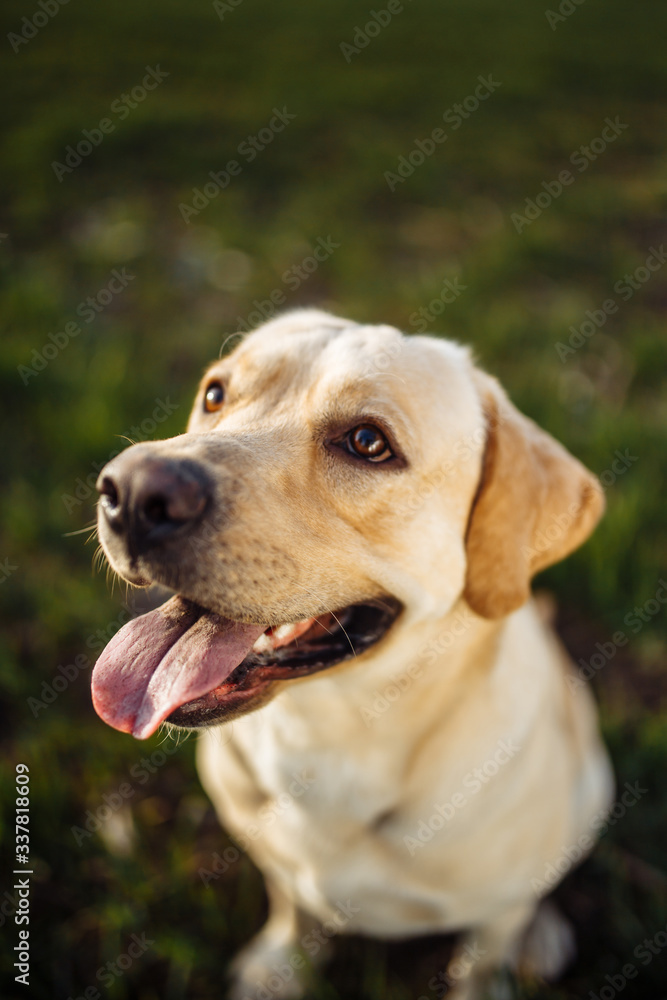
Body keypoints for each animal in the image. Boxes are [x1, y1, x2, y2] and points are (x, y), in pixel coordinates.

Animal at [91, 308, 612, 996]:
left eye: (368, 442)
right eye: (215, 395)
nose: (129, 492)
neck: (329, 736)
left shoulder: (494, 914)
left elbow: (482, 959)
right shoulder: (280, 866)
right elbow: (292, 907)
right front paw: (282, 966)